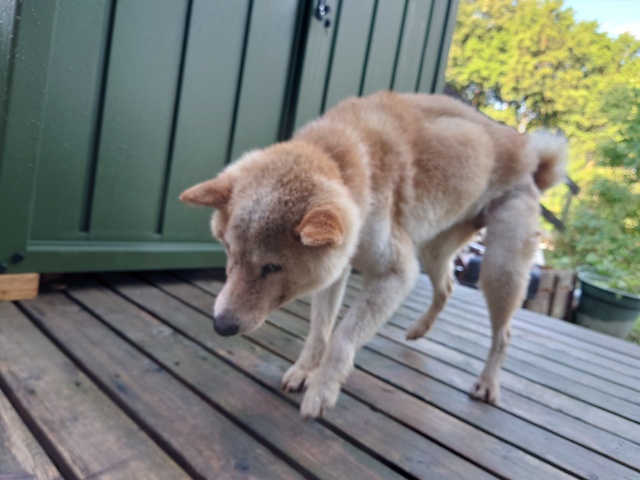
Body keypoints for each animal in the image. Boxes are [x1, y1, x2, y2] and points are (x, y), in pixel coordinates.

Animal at [180, 91, 567, 419]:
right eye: (229, 251)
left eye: (272, 266)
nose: (221, 326)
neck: (342, 161)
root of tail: (531, 156)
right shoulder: (337, 270)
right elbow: (320, 332)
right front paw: (305, 370)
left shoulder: (395, 275)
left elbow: (341, 338)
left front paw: (322, 390)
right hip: (432, 251)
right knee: (447, 287)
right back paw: (419, 329)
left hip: (499, 269)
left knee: (503, 334)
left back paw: (487, 383)